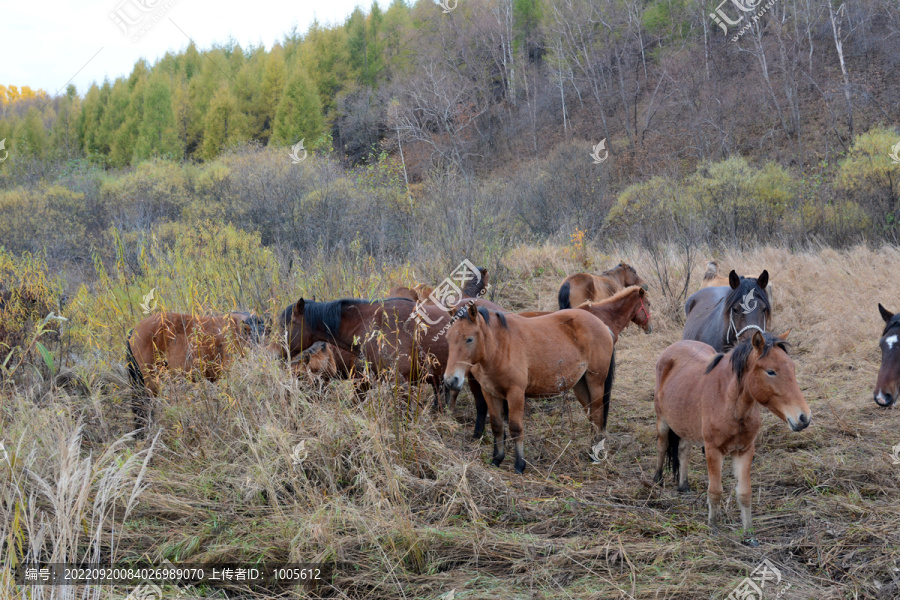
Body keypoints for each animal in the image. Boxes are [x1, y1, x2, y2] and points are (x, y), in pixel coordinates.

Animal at [444, 304, 616, 474]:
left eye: (469, 339)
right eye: (448, 338)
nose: (451, 380)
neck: (500, 347)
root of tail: (603, 325)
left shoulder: (516, 394)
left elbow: (515, 428)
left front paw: (520, 465)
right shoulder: (490, 393)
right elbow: (497, 426)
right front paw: (496, 460)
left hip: (595, 383)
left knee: (597, 415)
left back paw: (595, 454)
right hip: (580, 385)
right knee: (591, 416)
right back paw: (592, 450)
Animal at [652, 330, 812, 548]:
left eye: (793, 368)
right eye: (771, 371)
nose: (804, 418)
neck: (731, 403)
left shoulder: (744, 450)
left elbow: (744, 493)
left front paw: (749, 534)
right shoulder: (713, 450)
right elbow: (715, 491)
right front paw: (712, 528)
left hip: (685, 424)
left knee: (683, 450)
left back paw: (683, 486)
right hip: (662, 421)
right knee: (662, 446)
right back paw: (656, 480)